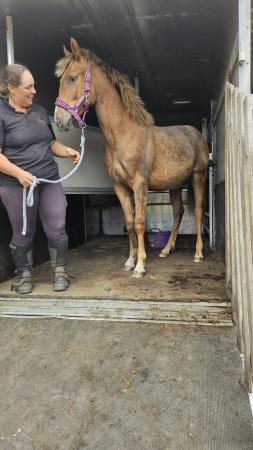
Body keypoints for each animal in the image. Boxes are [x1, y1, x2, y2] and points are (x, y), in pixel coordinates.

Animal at [54, 37, 209, 278]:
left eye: (72, 78)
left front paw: (140, 266)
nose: (59, 120)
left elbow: (139, 222)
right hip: (174, 185)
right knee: (178, 212)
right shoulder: (120, 187)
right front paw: (130, 260)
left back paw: (198, 253)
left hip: (198, 178)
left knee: (199, 212)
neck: (124, 136)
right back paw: (166, 250)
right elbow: (128, 222)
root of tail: (197, 135)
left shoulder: (140, 185)